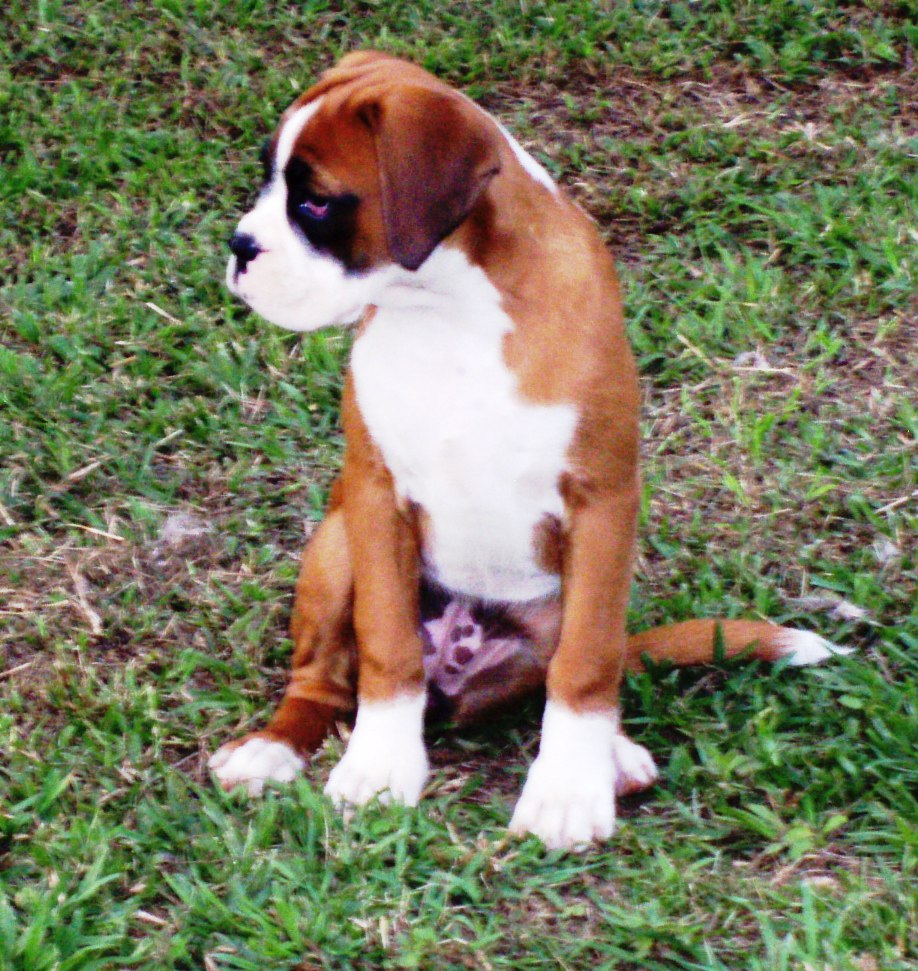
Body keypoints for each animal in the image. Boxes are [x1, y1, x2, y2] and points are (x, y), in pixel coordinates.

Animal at [209, 51, 846, 850]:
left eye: (318, 203)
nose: (239, 247)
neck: (448, 309)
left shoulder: (602, 503)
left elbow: (587, 662)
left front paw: (568, 789)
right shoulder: (375, 493)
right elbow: (386, 645)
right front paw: (381, 767)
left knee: (578, 664)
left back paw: (614, 752)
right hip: (334, 544)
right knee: (320, 681)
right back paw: (273, 746)